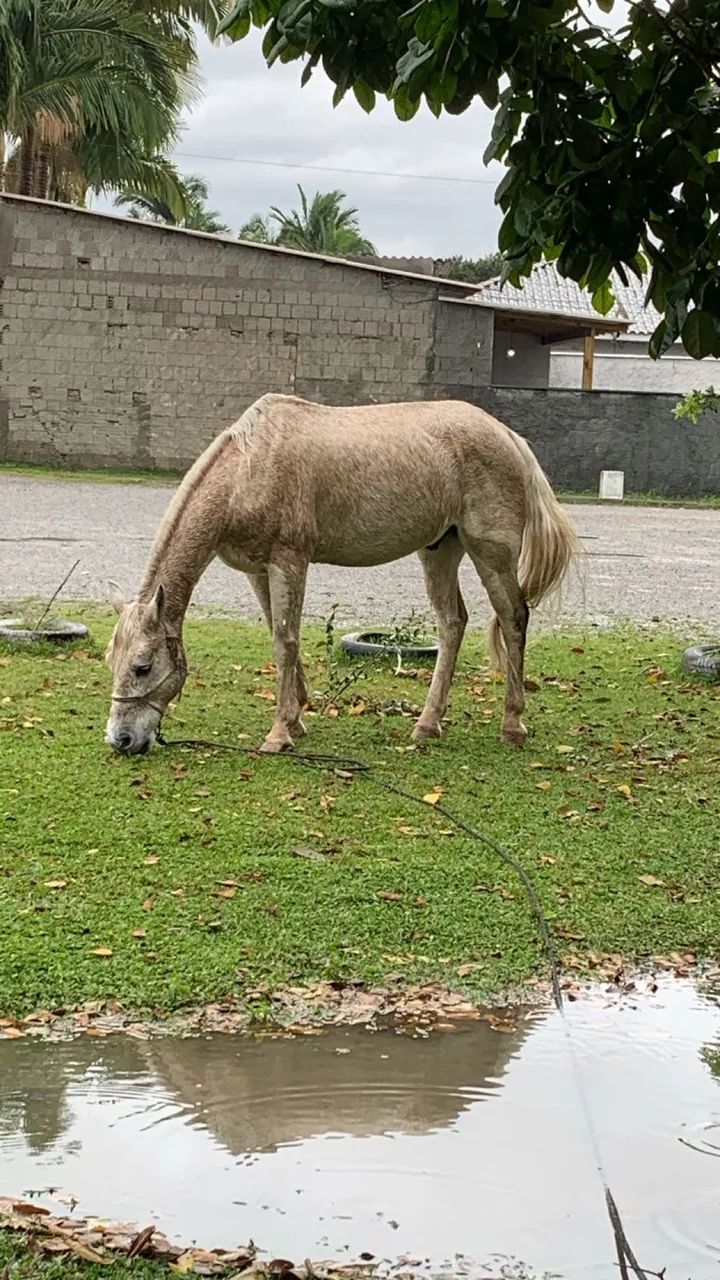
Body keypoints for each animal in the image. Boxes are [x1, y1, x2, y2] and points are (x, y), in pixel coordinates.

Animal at [105, 393, 580, 756]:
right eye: (112, 660)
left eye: (143, 667)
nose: (121, 740)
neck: (250, 469)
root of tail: (507, 436)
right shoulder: (259, 571)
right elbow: (278, 635)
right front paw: (297, 719)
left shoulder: (290, 562)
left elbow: (285, 640)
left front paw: (279, 733)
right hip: (440, 551)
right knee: (452, 623)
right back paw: (427, 724)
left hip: (491, 554)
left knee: (514, 617)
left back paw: (512, 724)